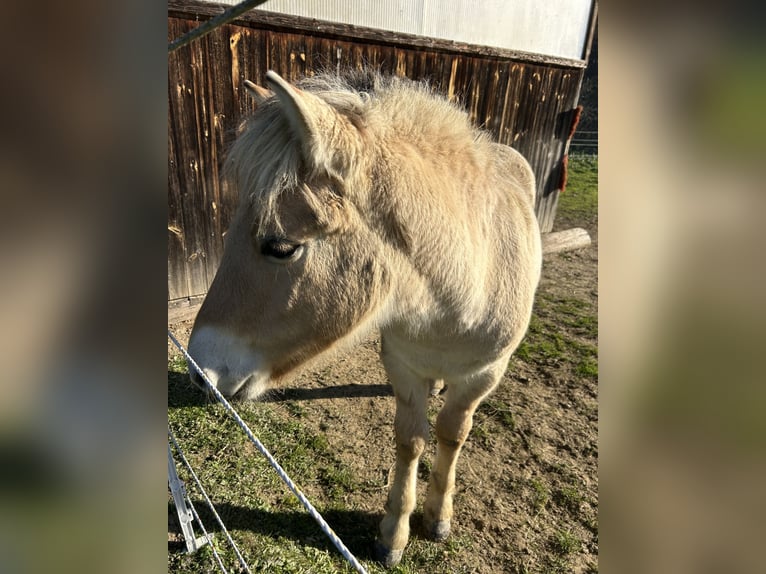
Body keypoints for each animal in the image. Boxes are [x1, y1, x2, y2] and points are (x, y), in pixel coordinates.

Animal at [188, 71, 544, 568]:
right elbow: (411, 440)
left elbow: (452, 434)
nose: (197, 368)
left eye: (281, 247)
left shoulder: (485, 374)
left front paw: (438, 517)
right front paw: (395, 534)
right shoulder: (402, 366)